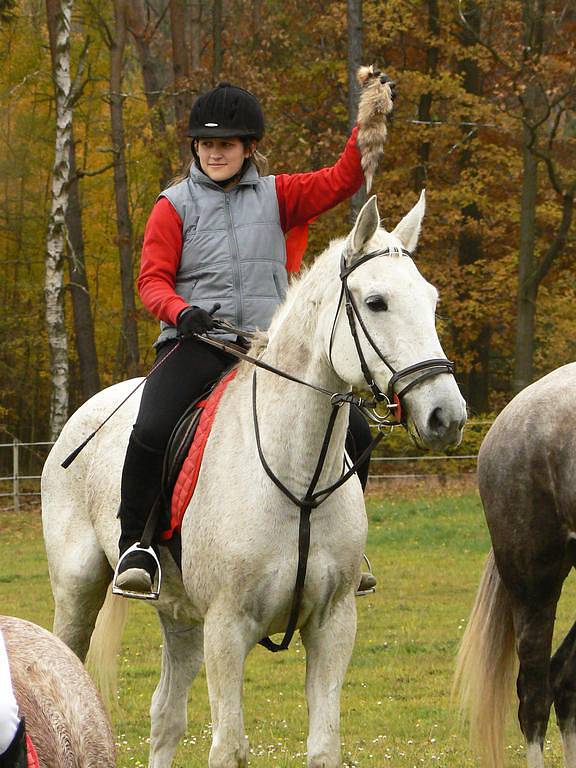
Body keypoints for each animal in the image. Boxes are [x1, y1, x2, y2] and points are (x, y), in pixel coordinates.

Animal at [40, 194, 466, 768]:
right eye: (376, 302)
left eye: (431, 300)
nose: (446, 415)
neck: (297, 479)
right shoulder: (227, 628)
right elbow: (229, 748)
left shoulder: (333, 624)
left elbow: (324, 746)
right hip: (77, 594)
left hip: (180, 618)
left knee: (165, 716)